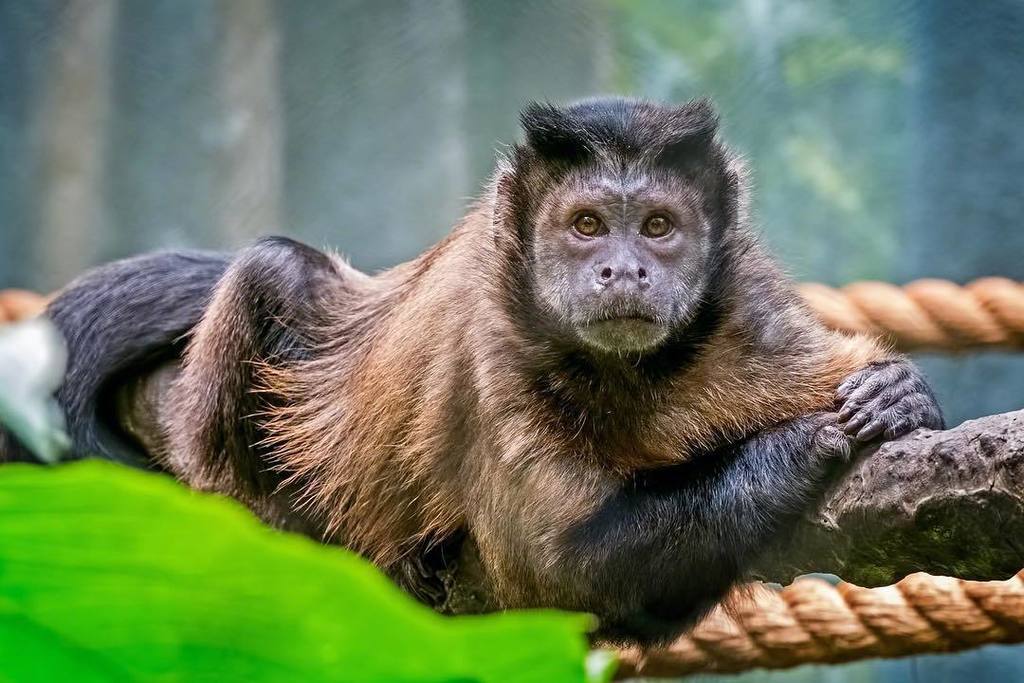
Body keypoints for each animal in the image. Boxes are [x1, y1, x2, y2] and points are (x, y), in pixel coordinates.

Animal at [26, 97, 942, 645]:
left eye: (657, 226)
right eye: (585, 224)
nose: (622, 268)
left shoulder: (752, 316)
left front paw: (896, 395)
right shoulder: (491, 347)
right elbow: (560, 566)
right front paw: (802, 442)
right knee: (274, 270)